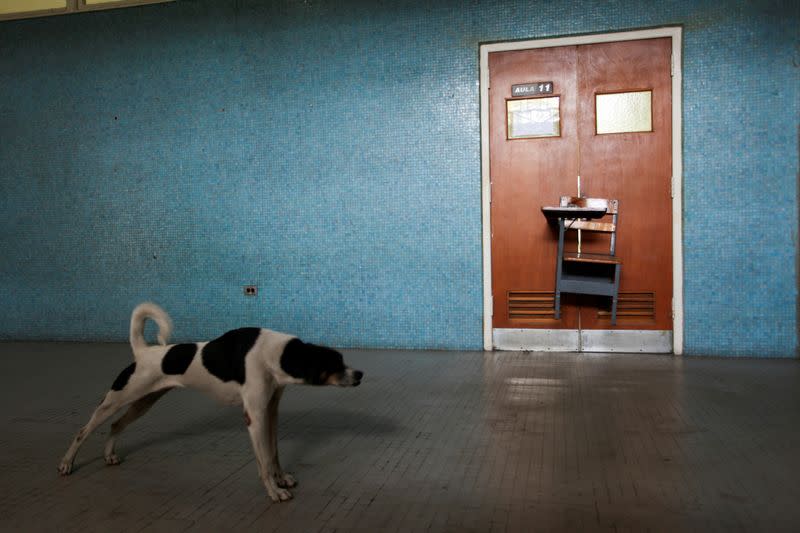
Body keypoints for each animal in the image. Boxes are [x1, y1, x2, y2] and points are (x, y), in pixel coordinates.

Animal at [57, 302, 364, 500]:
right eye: (336, 363)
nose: (360, 374)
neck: (275, 354)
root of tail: (143, 352)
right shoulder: (255, 416)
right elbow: (264, 459)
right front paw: (274, 491)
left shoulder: (270, 411)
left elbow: (273, 452)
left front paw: (281, 478)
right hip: (117, 399)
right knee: (84, 431)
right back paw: (66, 464)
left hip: (144, 401)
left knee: (116, 426)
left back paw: (109, 455)